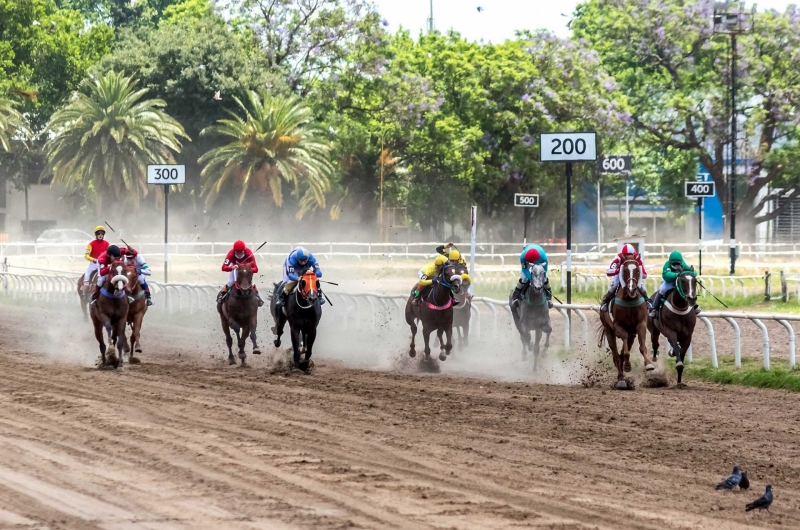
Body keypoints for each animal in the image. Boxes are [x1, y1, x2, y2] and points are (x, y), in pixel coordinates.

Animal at [596, 256, 652, 388]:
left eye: (637, 270)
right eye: (625, 270)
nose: (632, 289)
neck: (630, 300)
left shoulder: (641, 324)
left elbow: (642, 347)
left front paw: (648, 364)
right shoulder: (618, 326)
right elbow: (624, 351)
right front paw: (627, 366)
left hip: (632, 335)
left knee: (621, 353)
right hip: (609, 331)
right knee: (616, 355)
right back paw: (621, 379)